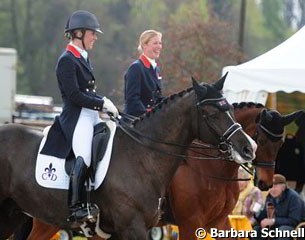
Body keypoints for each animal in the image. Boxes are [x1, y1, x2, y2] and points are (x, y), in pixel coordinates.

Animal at [0, 77, 256, 240]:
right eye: (211, 114)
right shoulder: (142, 227)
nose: (248, 148)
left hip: (13, 214)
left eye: (230, 109)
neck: (143, 157)